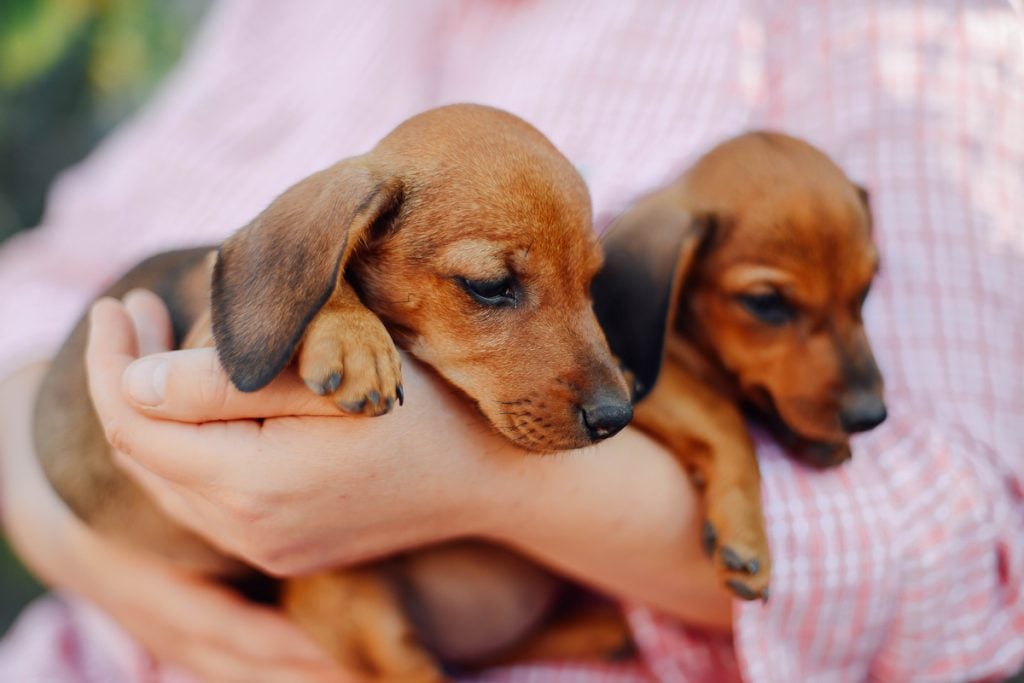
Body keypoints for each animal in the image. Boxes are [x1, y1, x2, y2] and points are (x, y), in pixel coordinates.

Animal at [36, 102, 634, 683]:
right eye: (489, 287)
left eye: (590, 284)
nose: (618, 416)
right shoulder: (198, 345)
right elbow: (327, 280)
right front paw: (349, 334)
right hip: (336, 592)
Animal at [593, 131, 888, 602]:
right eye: (766, 303)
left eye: (864, 291)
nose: (871, 417)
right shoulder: (638, 380)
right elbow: (723, 417)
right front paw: (747, 532)